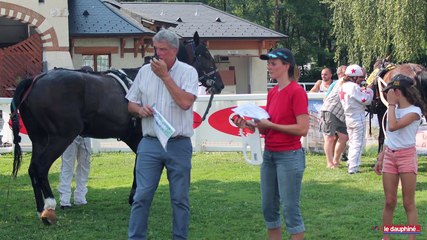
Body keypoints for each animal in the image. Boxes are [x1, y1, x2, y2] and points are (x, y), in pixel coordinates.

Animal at [9, 31, 224, 224]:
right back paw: (49, 208)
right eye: (206, 55)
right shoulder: (140, 137)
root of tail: (36, 80)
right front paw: (135, 196)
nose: (220, 84)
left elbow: (138, 166)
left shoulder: (134, 138)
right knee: (40, 167)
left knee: (32, 169)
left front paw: (134, 196)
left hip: (39, 138)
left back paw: (40, 209)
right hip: (60, 137)